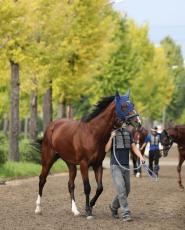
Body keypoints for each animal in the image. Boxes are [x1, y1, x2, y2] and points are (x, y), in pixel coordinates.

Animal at [34, 90, 142, 218]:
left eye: (133, 104)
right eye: (124, 106)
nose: (138, 122)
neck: (92, 133)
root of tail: (51, 126)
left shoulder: (97, 165)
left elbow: (100, 188)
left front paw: (90, 204)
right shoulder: (84, 164)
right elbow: (87, 187)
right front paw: (88, 211)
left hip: (70, 164)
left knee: (70, 184)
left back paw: (75, 210)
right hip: (48, 159)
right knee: (42, 179)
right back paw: (38, 208)